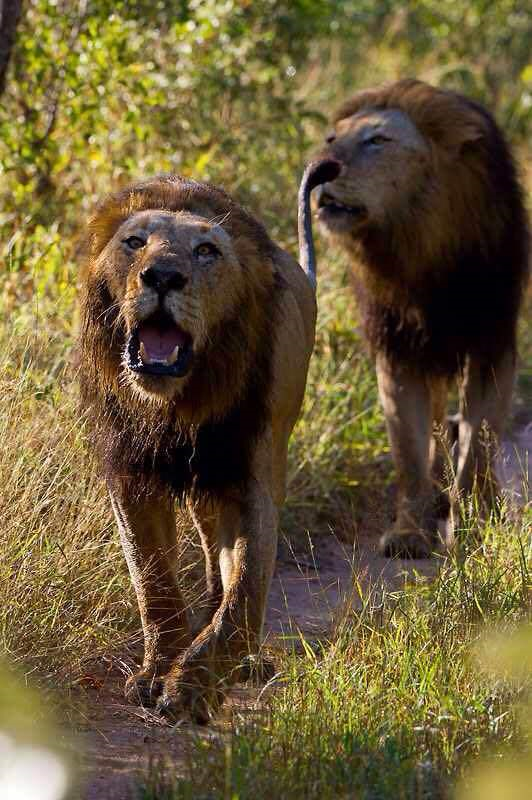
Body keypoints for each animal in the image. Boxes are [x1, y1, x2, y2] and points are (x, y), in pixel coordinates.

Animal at [78, 166, 336, 720]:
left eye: (205, 251)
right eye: (135, 242)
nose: (162, 277)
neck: (176, 406)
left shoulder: (251, 478)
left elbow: (244, 595)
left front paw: (193, 686)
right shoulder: (132, 476)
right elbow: (153, 583)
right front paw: (159, 671)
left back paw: (246, 663)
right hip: (203, 491)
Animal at [314, 79, 528, 556]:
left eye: (378, 140)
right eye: (332, 138)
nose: (321, 167)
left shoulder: (491, 344)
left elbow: (478, 442)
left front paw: (474, 528)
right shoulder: (397, 349)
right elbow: (408, 450)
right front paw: (410, 532)